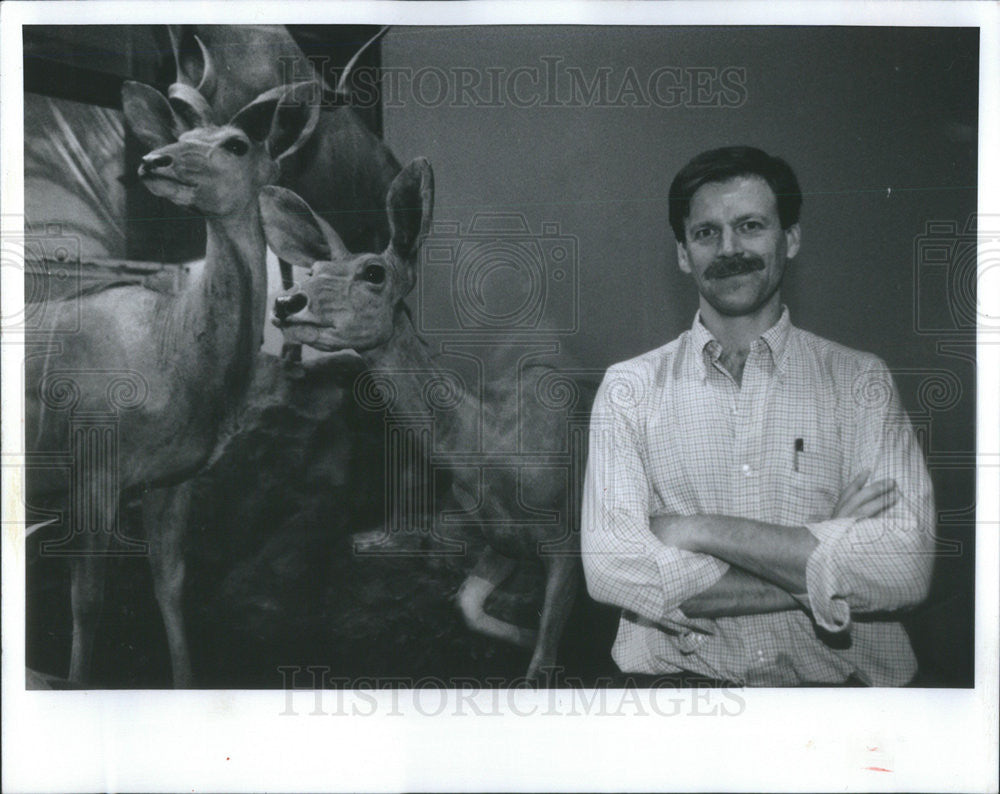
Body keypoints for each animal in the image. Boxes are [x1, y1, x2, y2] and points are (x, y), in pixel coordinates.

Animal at [25, 74, 320, 684]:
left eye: (237, 143)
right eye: (181, 137)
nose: (153, 161)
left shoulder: (172, 480)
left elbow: (172, 586)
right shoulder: (93, 469)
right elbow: (87, 599)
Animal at [262, 161, 584, 680]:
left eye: (374, 272)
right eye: (313, 270)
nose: (287, 302)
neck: (488, 443)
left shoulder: (568, 544)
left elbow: (543, 663)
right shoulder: (503, 543)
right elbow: (468, 607)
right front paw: (524, 637)